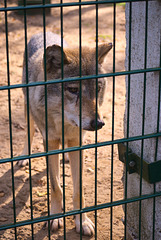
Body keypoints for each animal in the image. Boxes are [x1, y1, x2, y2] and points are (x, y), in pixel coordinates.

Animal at [18, 31, 112, 236]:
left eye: (98, 89)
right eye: (73, 90)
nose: (99, 123)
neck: (64, 124)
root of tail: (44, 32)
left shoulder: (77, 142)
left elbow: (78, 191)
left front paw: (82, 222)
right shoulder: (50, 142)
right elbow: (56, 188)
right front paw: (55, 218)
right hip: (28, 109)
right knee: (29, 132)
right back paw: (23, 156)